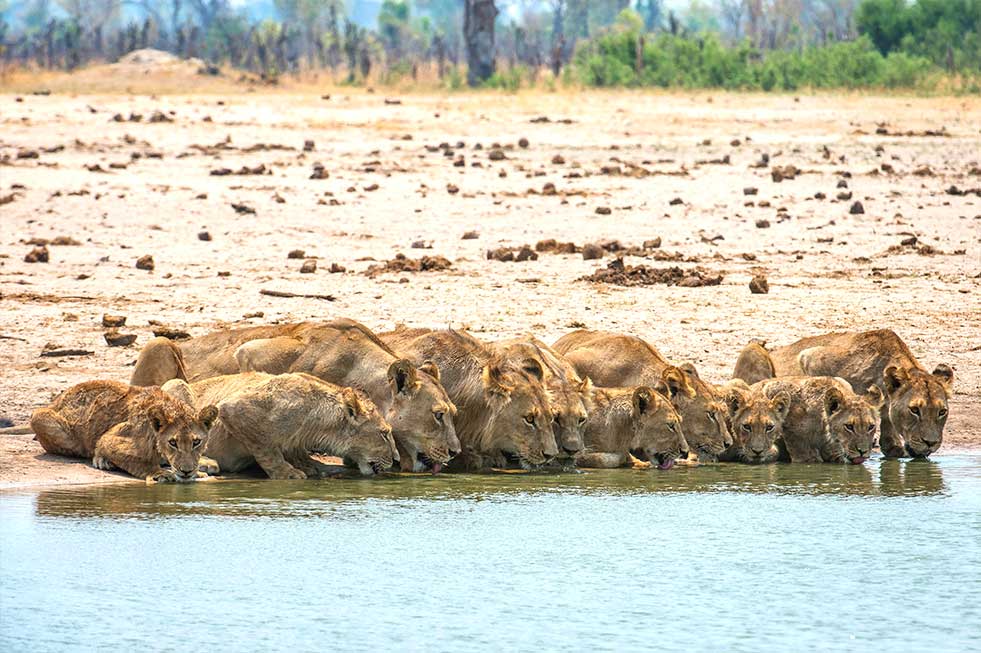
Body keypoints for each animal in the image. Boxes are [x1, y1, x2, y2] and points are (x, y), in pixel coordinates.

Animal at [30, 380, 217, 483]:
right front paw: (159, 473)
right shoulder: (109, 438)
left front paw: (200, 469)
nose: (186, 471)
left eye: (196, 442)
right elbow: (139, 461)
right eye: (173, 442)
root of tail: (56, 400)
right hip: (39, 417)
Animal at [163, 372, 397, 479]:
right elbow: (266, 448)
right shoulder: (235, 406)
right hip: (176, 385)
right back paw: (205, 463)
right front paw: (288, 473)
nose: (396, 459)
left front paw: (307, 464)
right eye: (384, 434)